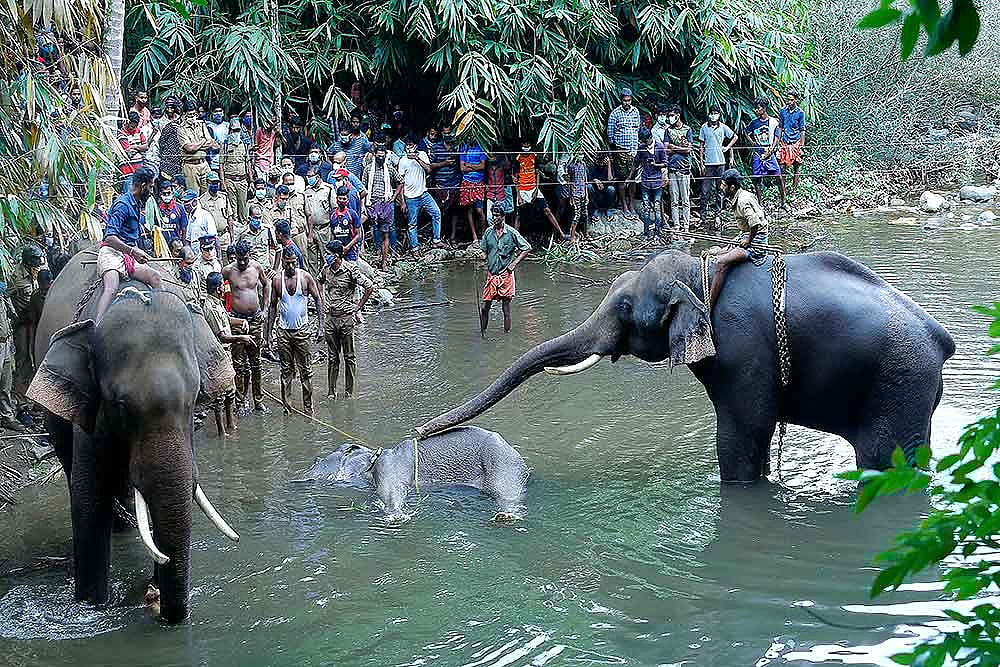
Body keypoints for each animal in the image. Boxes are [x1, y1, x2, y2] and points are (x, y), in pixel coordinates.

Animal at [27, 249, 240, 623]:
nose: (158, 600)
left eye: (194, 397)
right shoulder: (92, 412)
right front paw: (91, 606)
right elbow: (88, 501)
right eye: (120, 405)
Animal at [296, 426, 530, 521]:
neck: (372, 458)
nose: (298, 477)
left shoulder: (390, 468)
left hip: (501, 464)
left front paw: (396, 517)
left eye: (316, 460)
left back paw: (505, 517)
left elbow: (391, 491)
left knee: (506, 492)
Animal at [416, 250, 955, 482]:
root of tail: (940, 339)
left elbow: (744, 432)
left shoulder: (742, 347)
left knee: (885, 459)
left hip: (899, 382)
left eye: (626, 306)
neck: (704, 270)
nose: (420, 432)